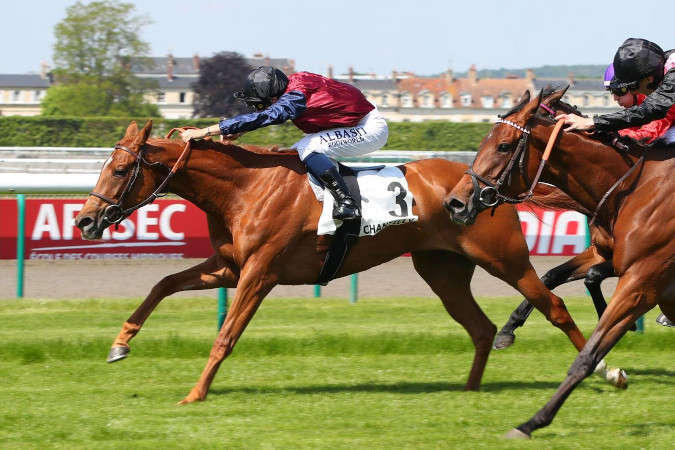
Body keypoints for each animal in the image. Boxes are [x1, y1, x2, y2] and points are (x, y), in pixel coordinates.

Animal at [74, 120, 623, 405]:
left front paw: (195, 393)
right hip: (441, 270)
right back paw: (468, 390)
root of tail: (483, 184)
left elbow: (226, 334)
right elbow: (162, 283)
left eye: (119, 170)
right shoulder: (228, 266)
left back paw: (607, 371)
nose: (84, 220)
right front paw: (120, 344)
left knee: (553, 305)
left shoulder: (260, 273)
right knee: (481, 327)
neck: (245, 186)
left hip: (504, 259)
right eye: (104, 165)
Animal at [445, 86, 674, 438]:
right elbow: (553, 276)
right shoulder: (609, 256)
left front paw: (531, 422)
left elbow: (588, 354)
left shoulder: (642, 281)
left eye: (504, 145)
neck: (632, 188)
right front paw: (508, 330)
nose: (455, 203)